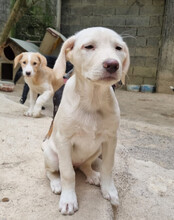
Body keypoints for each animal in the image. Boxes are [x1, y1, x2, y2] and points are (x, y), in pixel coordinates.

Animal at [42, 27, 130, 215]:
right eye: (89, 46)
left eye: (118, 48)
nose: (112, 64)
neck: (93, 100)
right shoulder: (64, 140)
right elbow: (67, 173)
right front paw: (68, 199)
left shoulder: (110, 139)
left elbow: (108, 167)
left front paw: (109, 190)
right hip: (51, 155)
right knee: (53, 172)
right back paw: (56, 183)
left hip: (96, 150)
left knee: (85, 165)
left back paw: (92, 174)